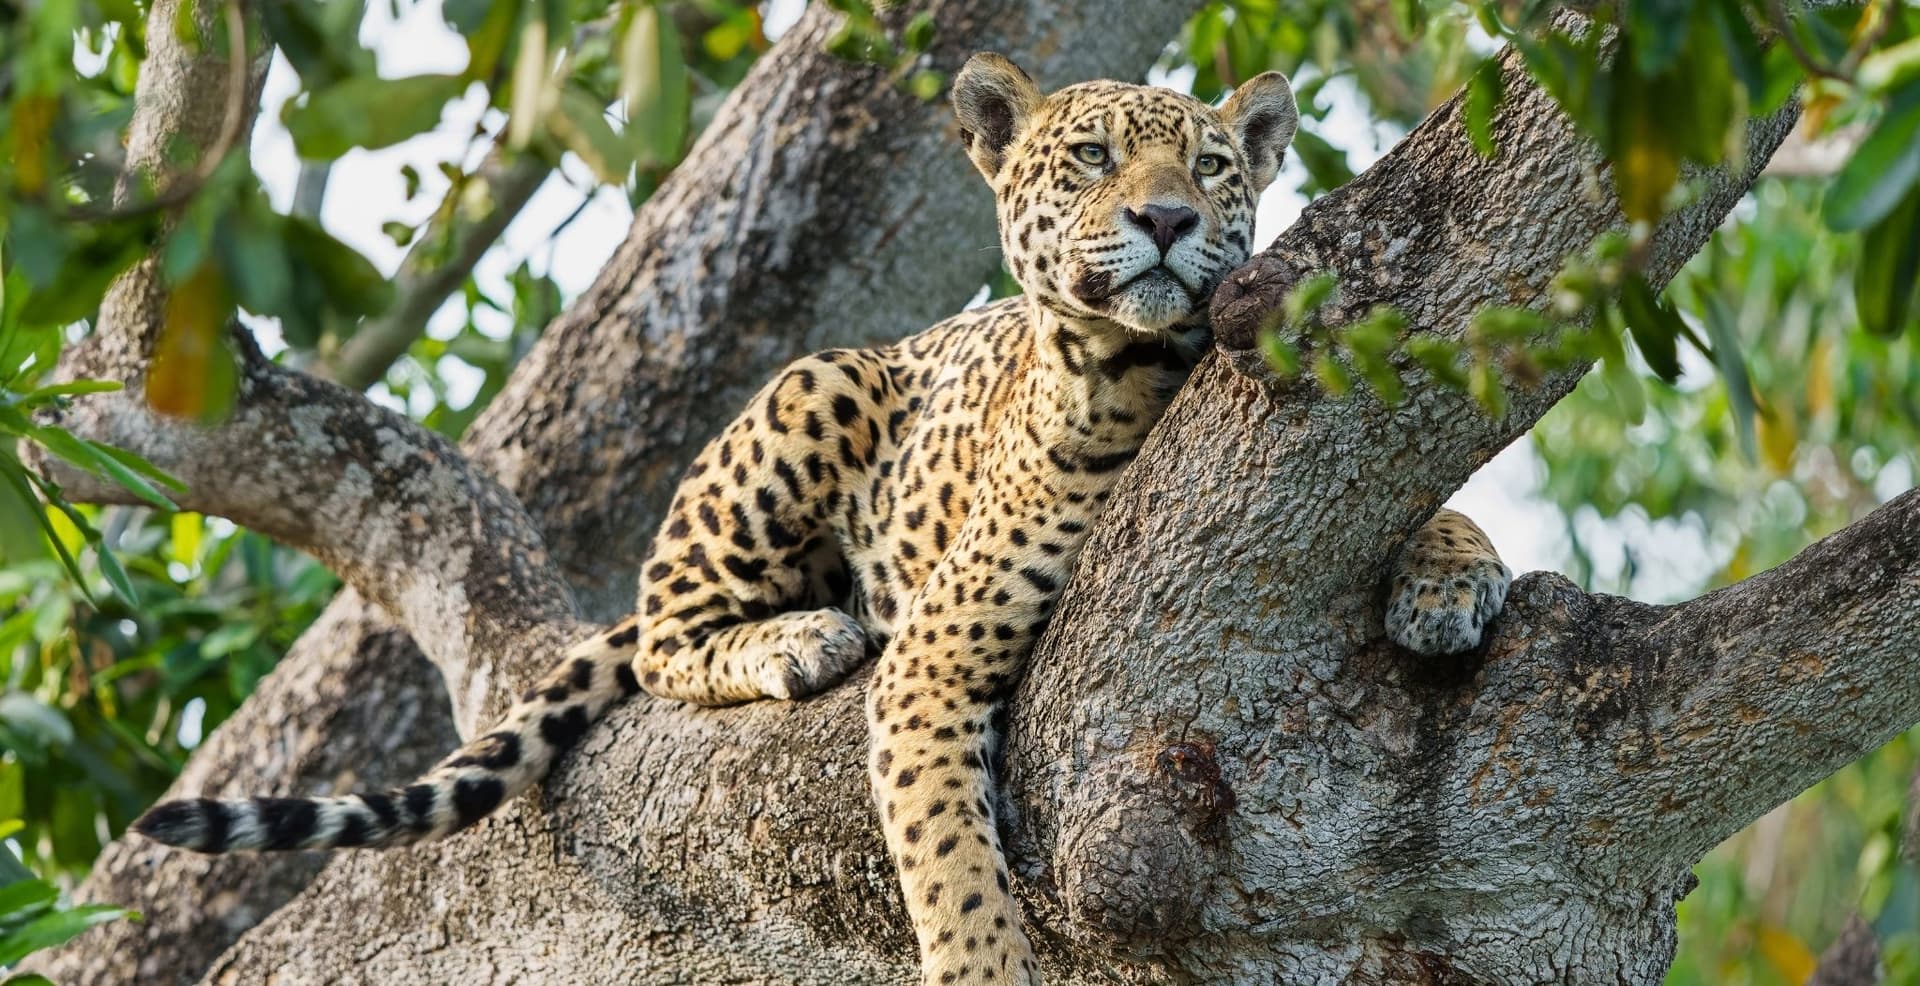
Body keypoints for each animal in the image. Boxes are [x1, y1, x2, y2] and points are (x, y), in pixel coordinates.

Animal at [134, 53, 1513, 985]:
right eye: (1090, 159)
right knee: (667, 629)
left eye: (1214, 167)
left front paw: (1449, 580)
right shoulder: (935, 656)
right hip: (812, 388)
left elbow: (1444, 501)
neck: (1150, 374)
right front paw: (981, 961)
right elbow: (951, 862)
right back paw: (798, 634)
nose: (1168, 218)